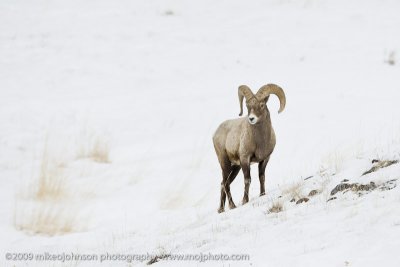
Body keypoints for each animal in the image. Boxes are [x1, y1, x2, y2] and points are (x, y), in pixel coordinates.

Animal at [212, 84, 284, 214]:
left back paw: (221, 209)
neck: (260, 141)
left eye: (262, 104)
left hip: (235, 167)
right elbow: (247, 180)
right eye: (247, 106)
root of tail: (215, 134)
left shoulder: (265, 159)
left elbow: (262, 177)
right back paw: (232, 206)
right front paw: (245, 200)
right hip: (225, 163)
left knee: (223, 183)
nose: (251, 119)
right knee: (226, 183)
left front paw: (262, 194)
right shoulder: (245, 159)